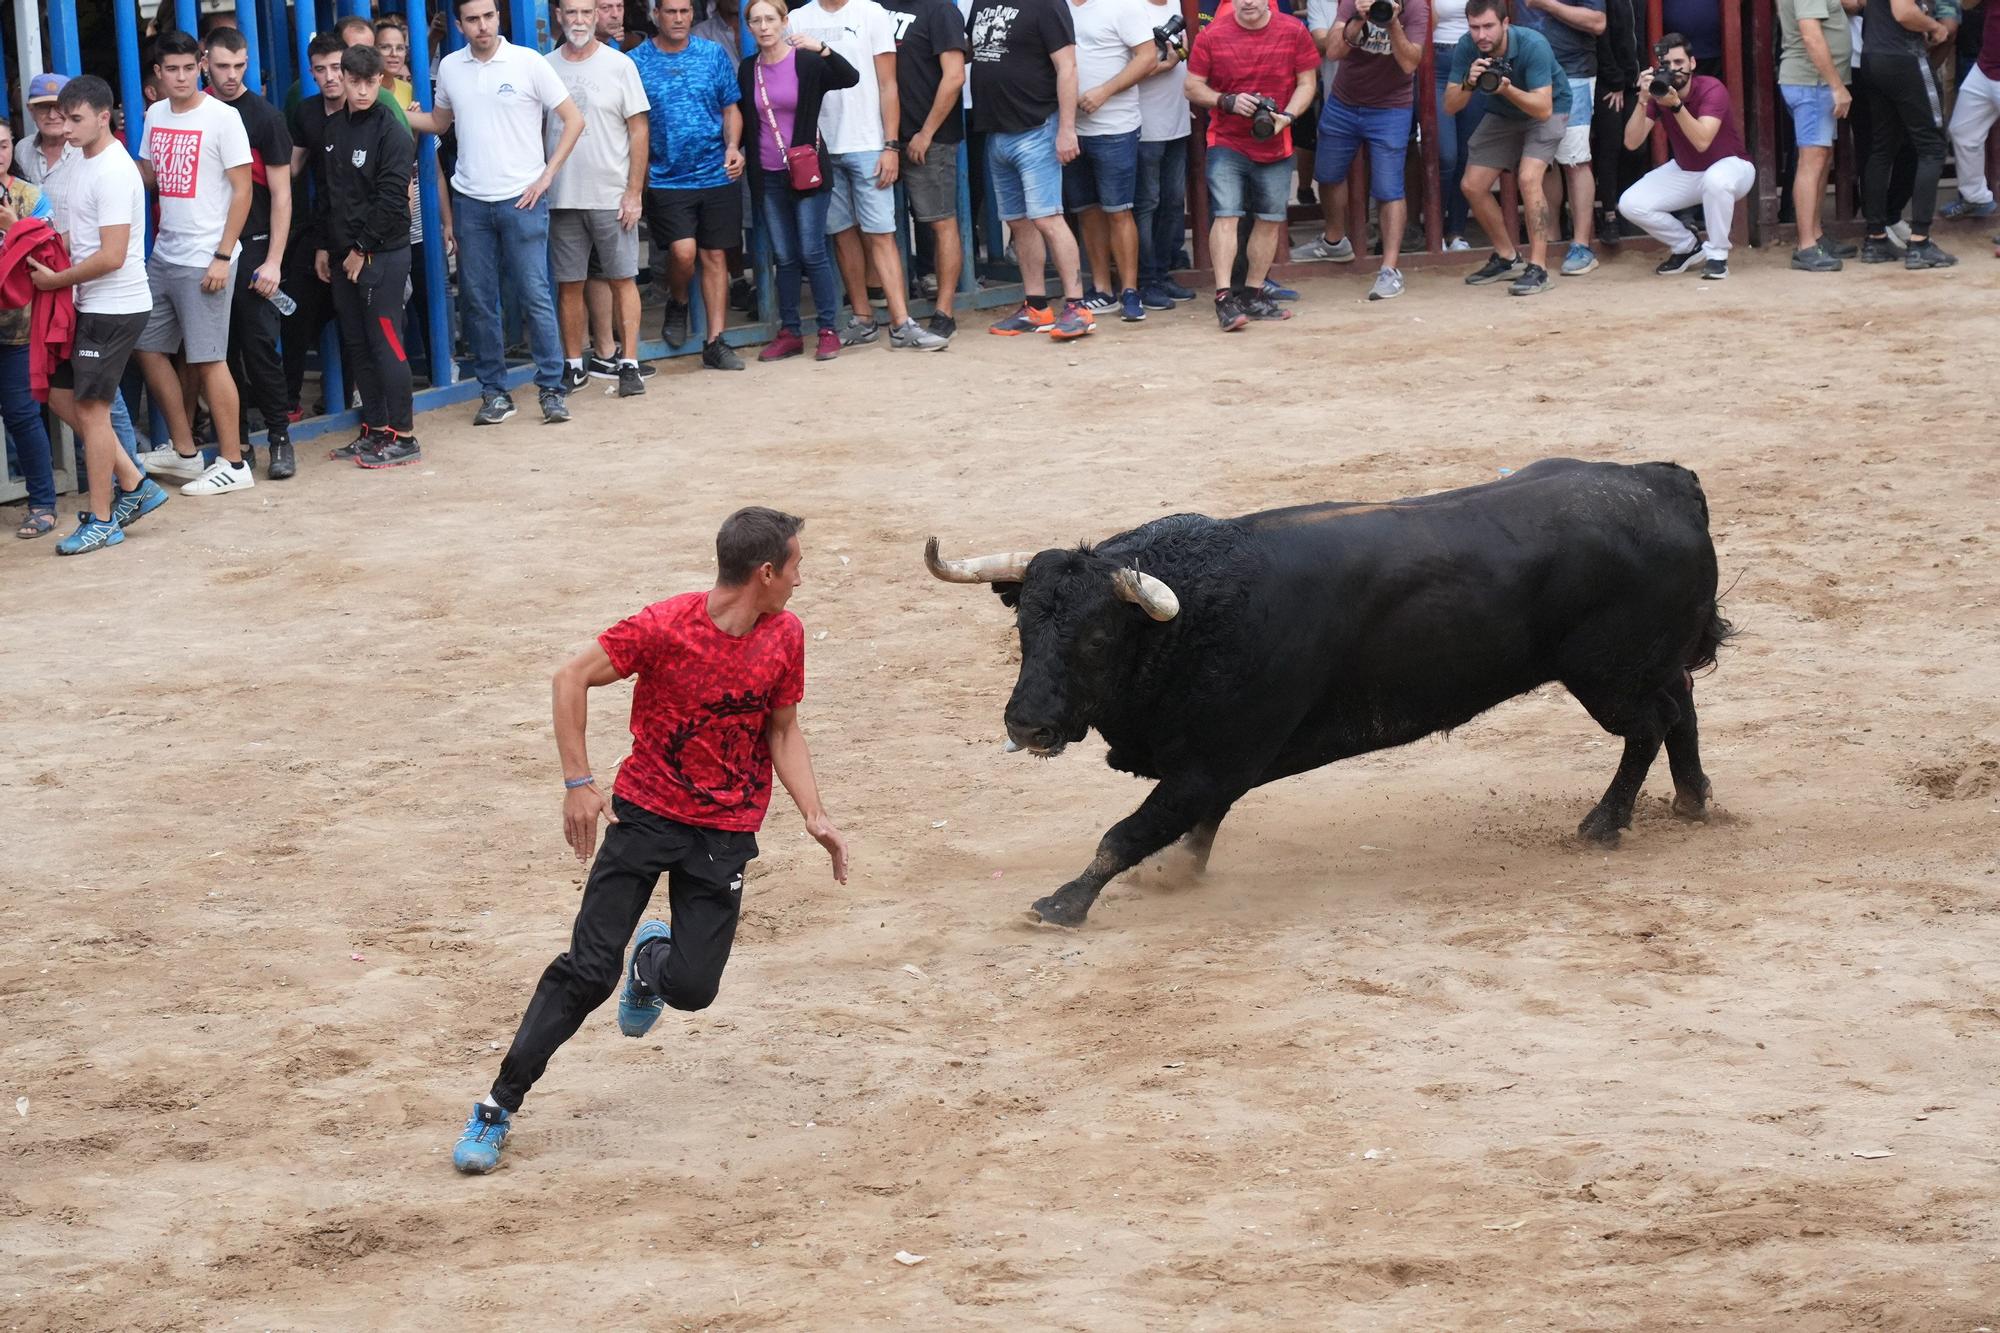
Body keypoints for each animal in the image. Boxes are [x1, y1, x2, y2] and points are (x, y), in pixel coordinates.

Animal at [928, 456, 1728, 924]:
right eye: (1024, 629)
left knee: (1649, 725)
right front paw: (1174, 876)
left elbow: (1126, 833)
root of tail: (1666, 484)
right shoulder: (1217, 764)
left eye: (1096, 638)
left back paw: (1604, 824)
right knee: (1681, 703)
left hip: (1607, 676)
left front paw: (1062, 902)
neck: (1194, 617)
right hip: (1642, 665)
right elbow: (1191, 829)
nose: (1026, 725)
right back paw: (1692, 801)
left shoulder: (1214, 761)